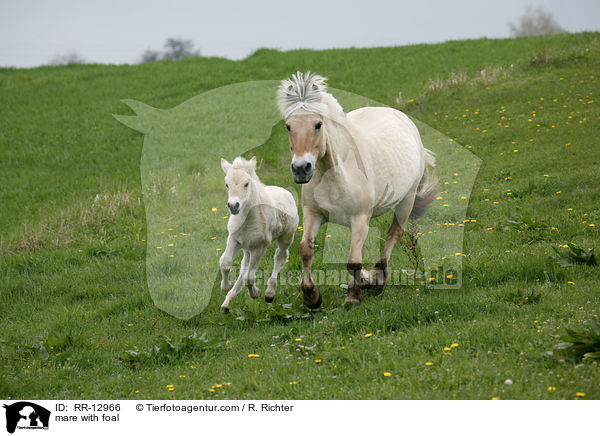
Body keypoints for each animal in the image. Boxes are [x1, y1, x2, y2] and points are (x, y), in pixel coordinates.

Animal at [218, 157, 298, 314]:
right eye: (226, 185)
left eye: (246, 184)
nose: (233, 206)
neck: (247, 218)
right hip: (247, 247)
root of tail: (285, 191)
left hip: (286, 238)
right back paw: (226, 303)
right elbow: (225, 263)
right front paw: (226, 285)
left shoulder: (260, 246)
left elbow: (250, 278)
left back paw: (270, 293)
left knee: (280, 257)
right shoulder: (234, 239)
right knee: (244, 266)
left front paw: (255, 293)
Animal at [276, 71, 436, 308]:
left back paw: (378, 279)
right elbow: (306, 249)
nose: (301, 169)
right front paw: (311, 296)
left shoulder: (360, 218)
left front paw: (359, 291)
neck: (336, 172)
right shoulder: (313, 213)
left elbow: (353, 263)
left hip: (405, 202)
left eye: (318, 124)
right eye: (288, 126)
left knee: (393, 235)